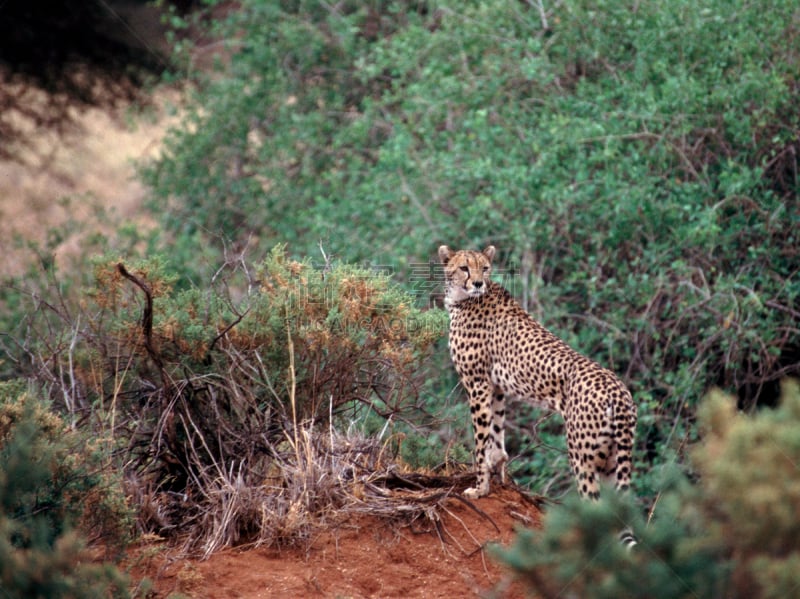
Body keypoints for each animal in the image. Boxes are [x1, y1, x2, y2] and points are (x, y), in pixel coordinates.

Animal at [438, 245, 636, 502]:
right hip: (613, 457)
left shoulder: (477, 383)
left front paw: (480, 488)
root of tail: (618, 390)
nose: (479, 283)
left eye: (485, 268)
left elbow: (481, 440)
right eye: (464, 268)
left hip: (583, 455)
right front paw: (497, 471)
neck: (462, 299)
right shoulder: (495, 386)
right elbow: (496, 431)